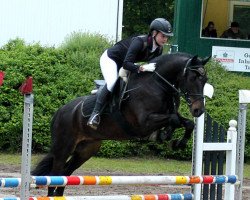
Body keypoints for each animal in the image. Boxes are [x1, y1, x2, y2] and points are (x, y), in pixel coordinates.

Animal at [32, 52, 210, 196]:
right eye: (193, 78)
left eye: (205, 80)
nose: (198, 110)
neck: (158, 84)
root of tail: (60, 111)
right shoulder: (144, 123)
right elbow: (174, 119)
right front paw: (168, 136)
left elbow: (187, 123)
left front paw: (176, 141)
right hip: (64, 148)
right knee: (55, 174)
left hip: (86, 150)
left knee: (66, 174)